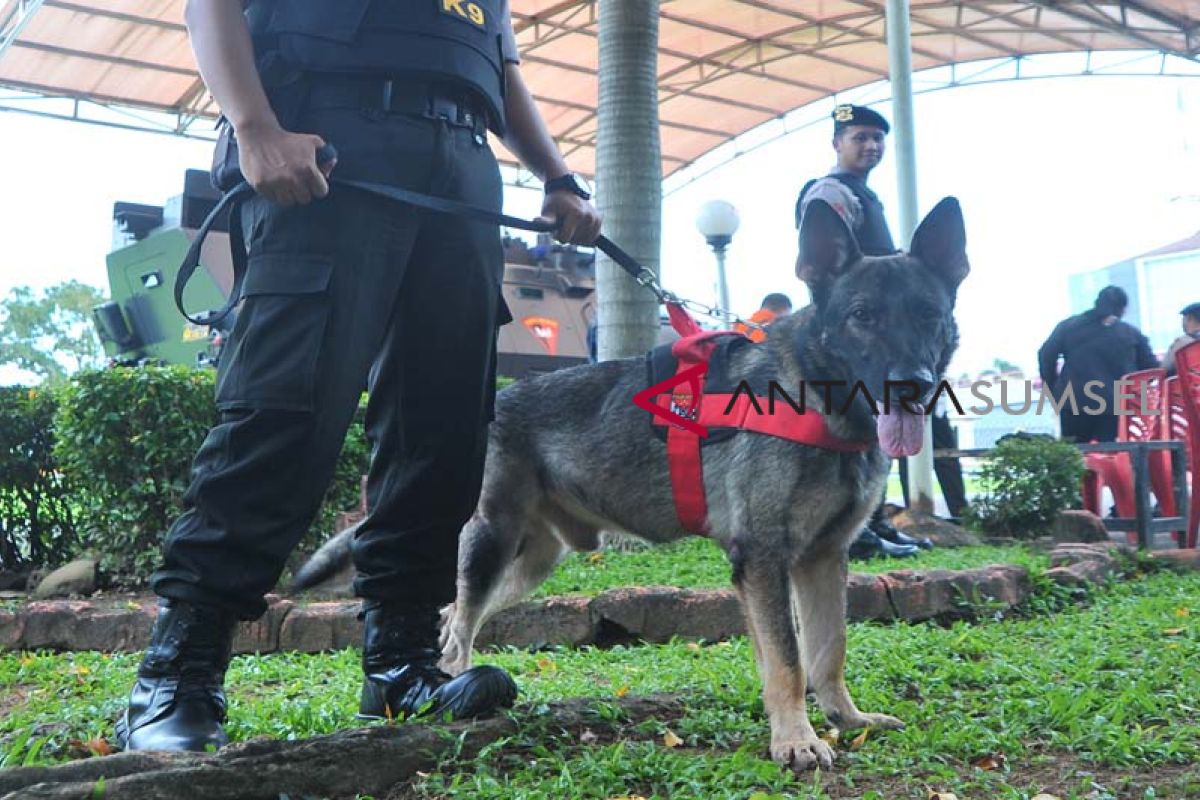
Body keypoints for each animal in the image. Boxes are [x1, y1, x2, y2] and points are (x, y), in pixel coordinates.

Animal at [295, 196, 969, 772]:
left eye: (928, 316)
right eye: (862, 318)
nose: (913, 385)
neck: (812, 391)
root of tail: (495, 404)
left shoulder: (823, 561)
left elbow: (829, 652)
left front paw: (846, 719)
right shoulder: (763, 562)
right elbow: (788, 660)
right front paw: (795, 741)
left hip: (529, 564)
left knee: (448, 615)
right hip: (491, 547)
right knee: (458, 624)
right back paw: (447, 698)